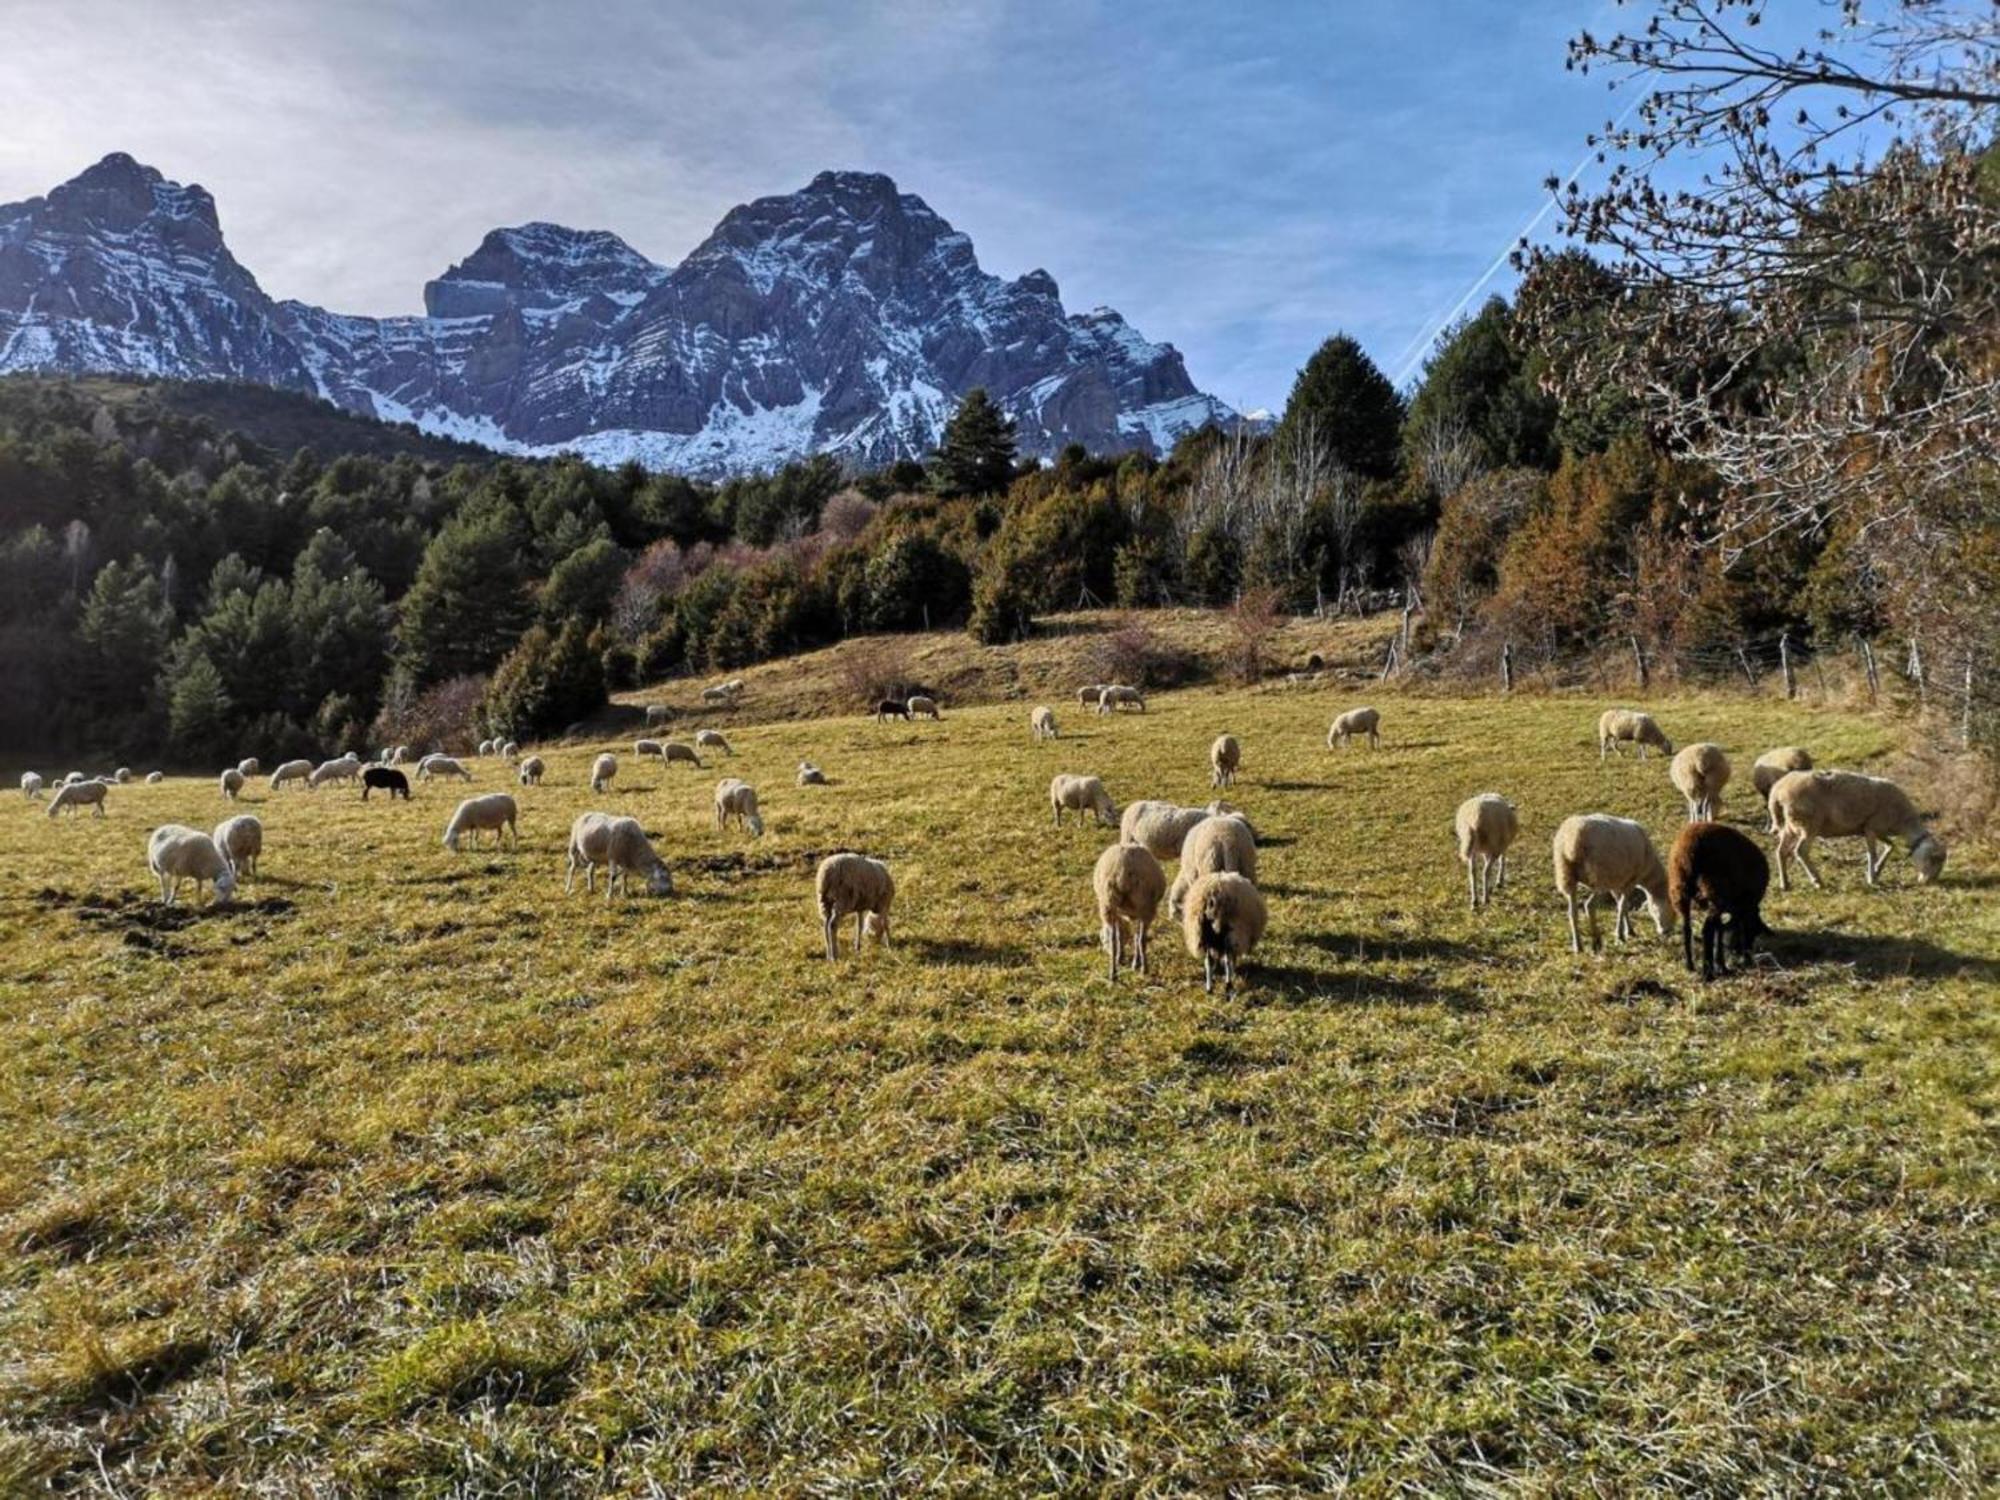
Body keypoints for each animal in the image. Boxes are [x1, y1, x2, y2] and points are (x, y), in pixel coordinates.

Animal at [1096, 848, 1168, 988]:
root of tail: (1122, 872)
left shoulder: (1122, 914)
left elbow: (1120, 936)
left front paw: (1121, 958)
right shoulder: (1138, 913)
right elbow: (1137, 937)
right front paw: (1136, 962)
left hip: (1108, 904)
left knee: (1113, 941)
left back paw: (1113, 974)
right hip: (1145, 905)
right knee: (1142, 939)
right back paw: (1144, 969)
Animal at [1176, 868, 1272, 1000]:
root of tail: (1215, 890)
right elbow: (1231, 959)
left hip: (1202, 933)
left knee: (1208, 961)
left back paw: (1209, 989)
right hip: (1232, 931)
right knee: (1227, 960)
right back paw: (1228, 986)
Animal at [1552, 816, 1680, 956]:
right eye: (1673, 910)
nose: (1667, 932)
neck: (1649, 873)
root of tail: (1572, 842)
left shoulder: (1617, 883)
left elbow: (1622, 905)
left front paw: (1630, 930)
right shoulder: (1631, 880)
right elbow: (1622, 906)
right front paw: (1621, 935)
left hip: (1566, 875)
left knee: (1572, 912)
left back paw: (1578, 946)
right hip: (1598, 877)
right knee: (1589, 905)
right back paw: (1596, 942)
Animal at [1664, 824, 1776, 988]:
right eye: (1754, 932)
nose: (1748, 959)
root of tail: (1691, 849)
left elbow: (1721, 930)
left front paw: (1721, 963)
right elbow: (1721, 929)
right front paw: (1722, 966)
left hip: (1679, 888)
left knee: (1687, 928)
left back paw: (1690, 965)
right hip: (1714, 888)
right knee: (1707, 928)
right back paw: (1707, 973)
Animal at [1776, 776, 1944, 892]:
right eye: (1933, 861)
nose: (1928, 882)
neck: (1903, 821)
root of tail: (1778, 793)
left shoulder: (1874, 829)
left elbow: (1890, 846)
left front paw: (1877, 870)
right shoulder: (1871, 828)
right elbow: (1872, 854)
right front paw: (1872, 878)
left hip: (1790, 826)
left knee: (1781, 852)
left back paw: (1785, 883)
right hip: (1808, 825)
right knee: (1801, 851)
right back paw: (1817, 881)